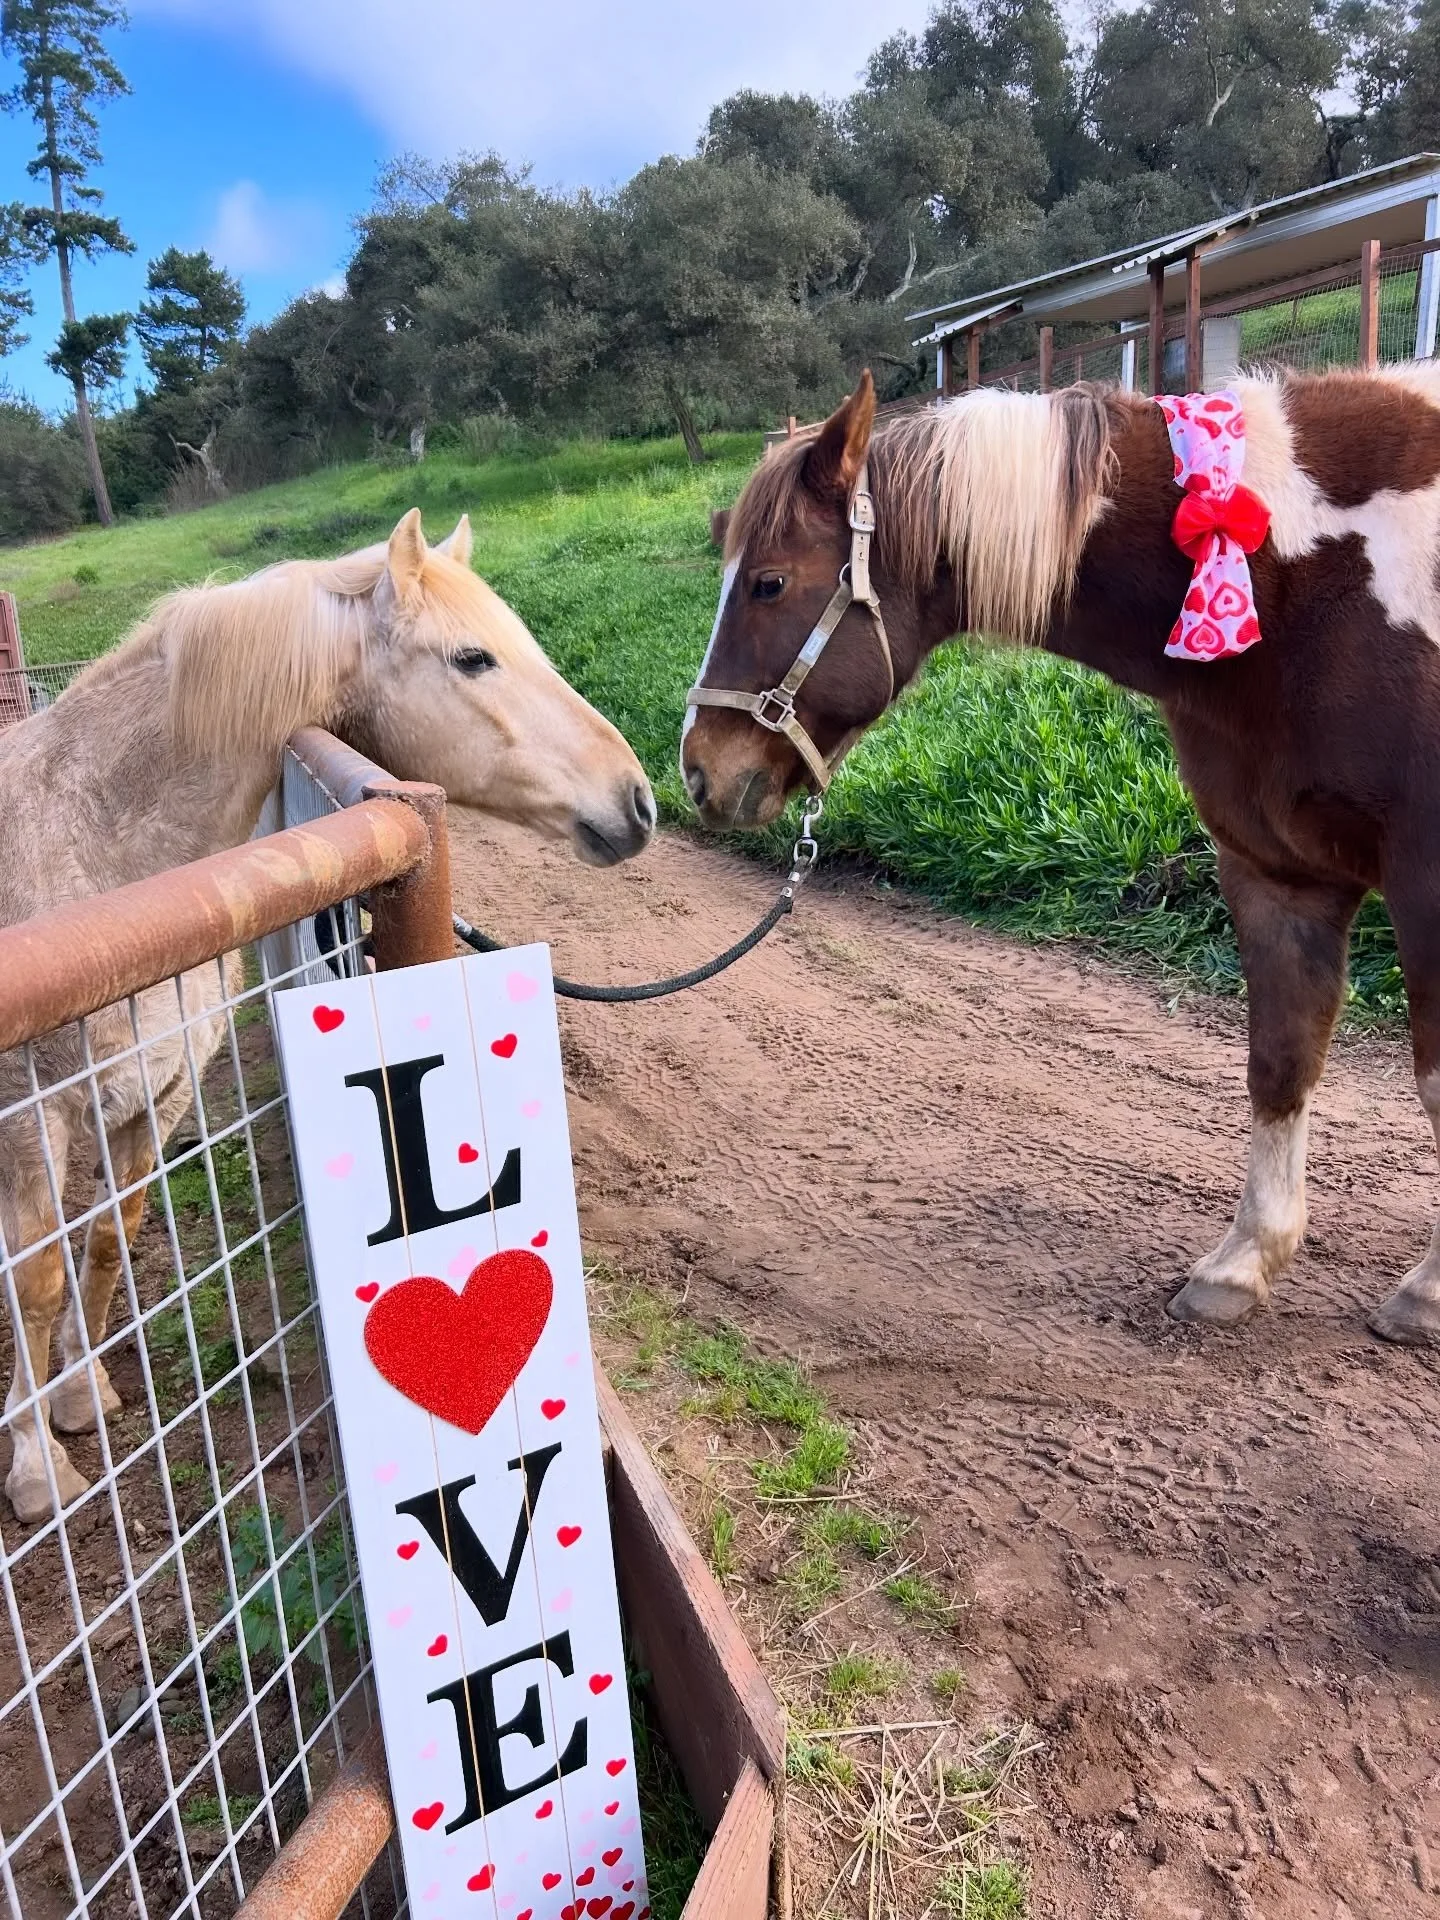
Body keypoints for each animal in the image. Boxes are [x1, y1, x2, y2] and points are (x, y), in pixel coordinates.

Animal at [1, 508, 655, 1522]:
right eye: (473, 658)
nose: (639, 801)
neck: (98, 871)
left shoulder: (154, 1097)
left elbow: (108, 1238)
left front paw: (84, 1392)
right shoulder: (31, 1128)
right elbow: (33, 1284)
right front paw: (38, 1469)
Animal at [681, 365, 1440, 1347]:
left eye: (769, 582)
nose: (699, 770)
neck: (1308, 585)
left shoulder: (1426, 883)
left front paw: (1428, 1292)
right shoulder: (1275, 872)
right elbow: (1280, 1061)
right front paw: (1242, 1264)